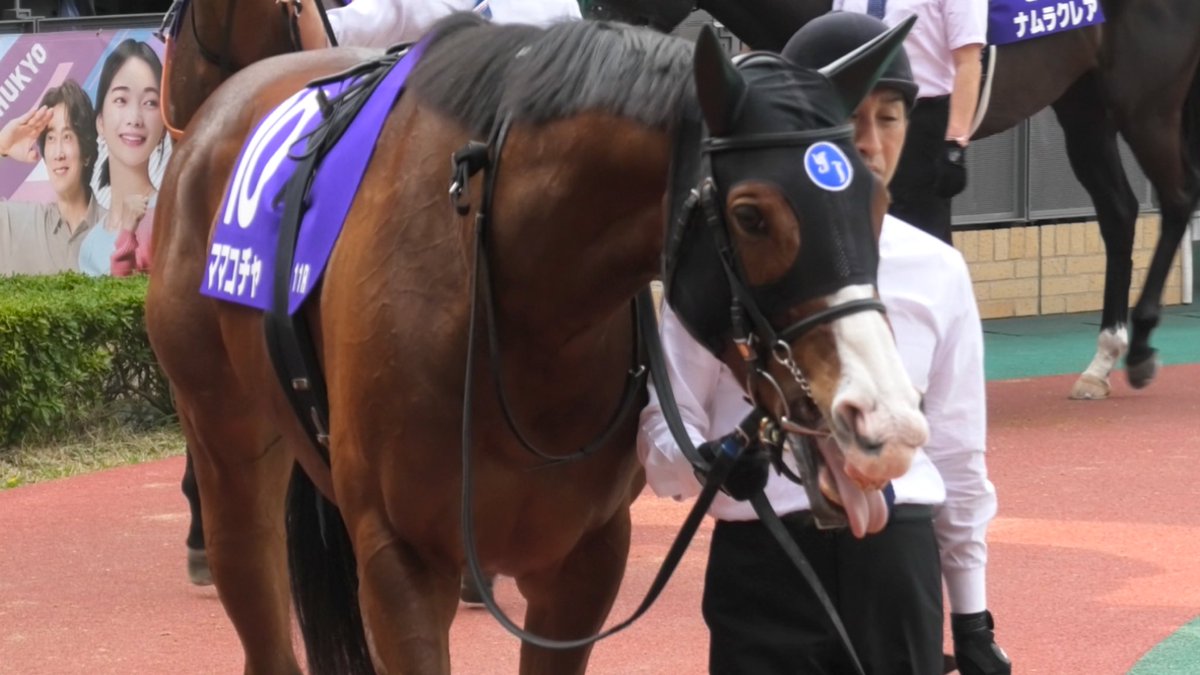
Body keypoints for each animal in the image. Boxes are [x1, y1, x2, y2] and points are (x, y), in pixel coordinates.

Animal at [145, 13, 928, 674]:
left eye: (878, 199)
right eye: (752, 215)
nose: (885, 420)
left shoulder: (584, 562)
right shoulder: (402, 561)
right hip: (226, 446)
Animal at [669, 0, 1200, 400]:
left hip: (1145, 105)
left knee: (1176, 199)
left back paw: (1138, 345)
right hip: (1083, 102)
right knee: (1119, 211)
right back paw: (1103, 360)